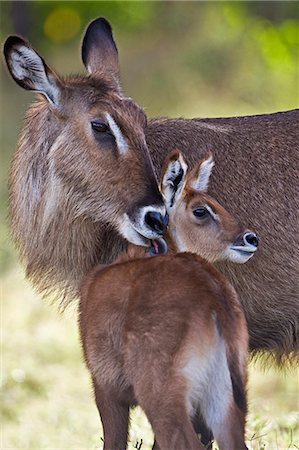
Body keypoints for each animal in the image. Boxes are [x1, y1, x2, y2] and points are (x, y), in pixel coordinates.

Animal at [79, 152, 258, 450]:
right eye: (201, 210)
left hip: (164, 400)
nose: (251, 238)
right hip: (222, 400)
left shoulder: (105, 389)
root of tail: (214, 296)